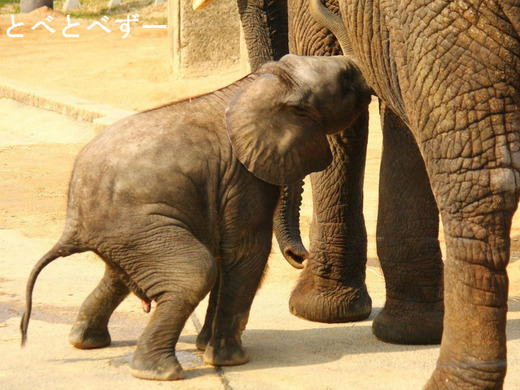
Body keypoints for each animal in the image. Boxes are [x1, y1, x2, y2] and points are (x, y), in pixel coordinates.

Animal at [20, 54, 370, 380]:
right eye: (346, 80)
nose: (301, 257)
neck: (264, 80)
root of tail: (72, 223)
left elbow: (227, 254)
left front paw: (205, 347)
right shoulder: (243, 177)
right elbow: (245, 253)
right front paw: (230, 360)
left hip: (128, 234)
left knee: (118, 276)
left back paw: (87, 342)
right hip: (136, 225)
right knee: (195, 272)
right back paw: (160, 372)